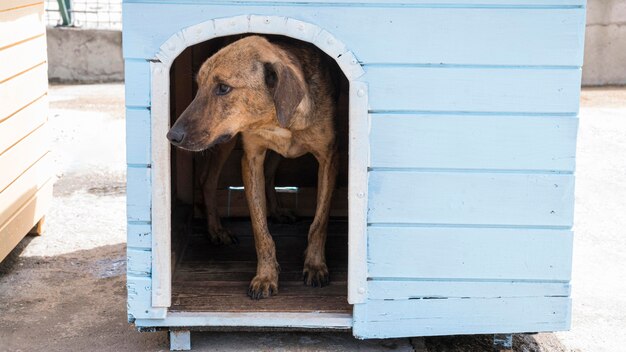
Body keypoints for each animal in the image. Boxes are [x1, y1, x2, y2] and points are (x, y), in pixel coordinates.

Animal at [166, 36, 336, 300]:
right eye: (198, 86)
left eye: (223, 88)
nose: (171, 136)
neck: (274, 119)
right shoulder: (251, 159)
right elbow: (260, 229)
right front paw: (266, 276)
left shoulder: (328, 159)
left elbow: (319, 222)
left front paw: (315, 264)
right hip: (226, 142)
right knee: (208, 180)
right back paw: (217, 230)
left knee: (268, 175)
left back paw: (277, 212)